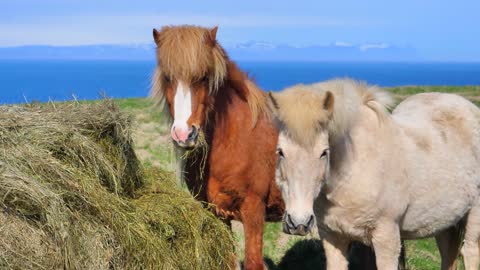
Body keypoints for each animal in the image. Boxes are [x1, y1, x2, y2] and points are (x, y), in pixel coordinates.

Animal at [268, 78, 480, 270]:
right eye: (280, 151)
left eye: (323, 152)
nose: (298, 222)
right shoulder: (333, 238)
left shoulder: (386, 238)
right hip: (445, 223)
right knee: (448, 253)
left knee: (470, 252)